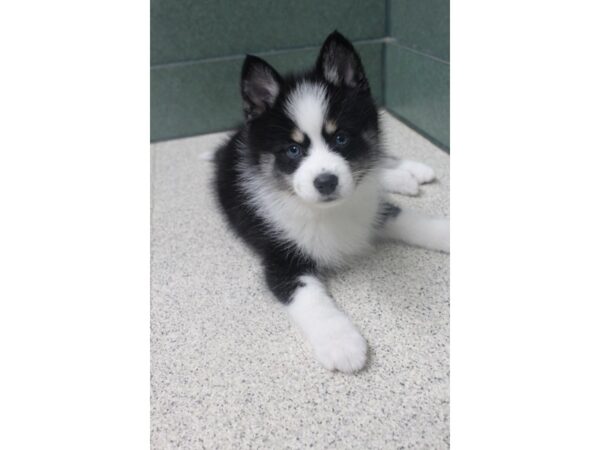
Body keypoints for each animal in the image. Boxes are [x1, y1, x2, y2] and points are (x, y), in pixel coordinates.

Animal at [213, 31, 448, 374]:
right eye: (293, 150)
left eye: (341, 138)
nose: (326, 182)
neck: (327, 212)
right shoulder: (280, 258)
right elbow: (310, 299)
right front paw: (342, 344)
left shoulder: (370, 206)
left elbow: (406, 217)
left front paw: (447, 231)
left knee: (380, 159)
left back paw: (412, 172)